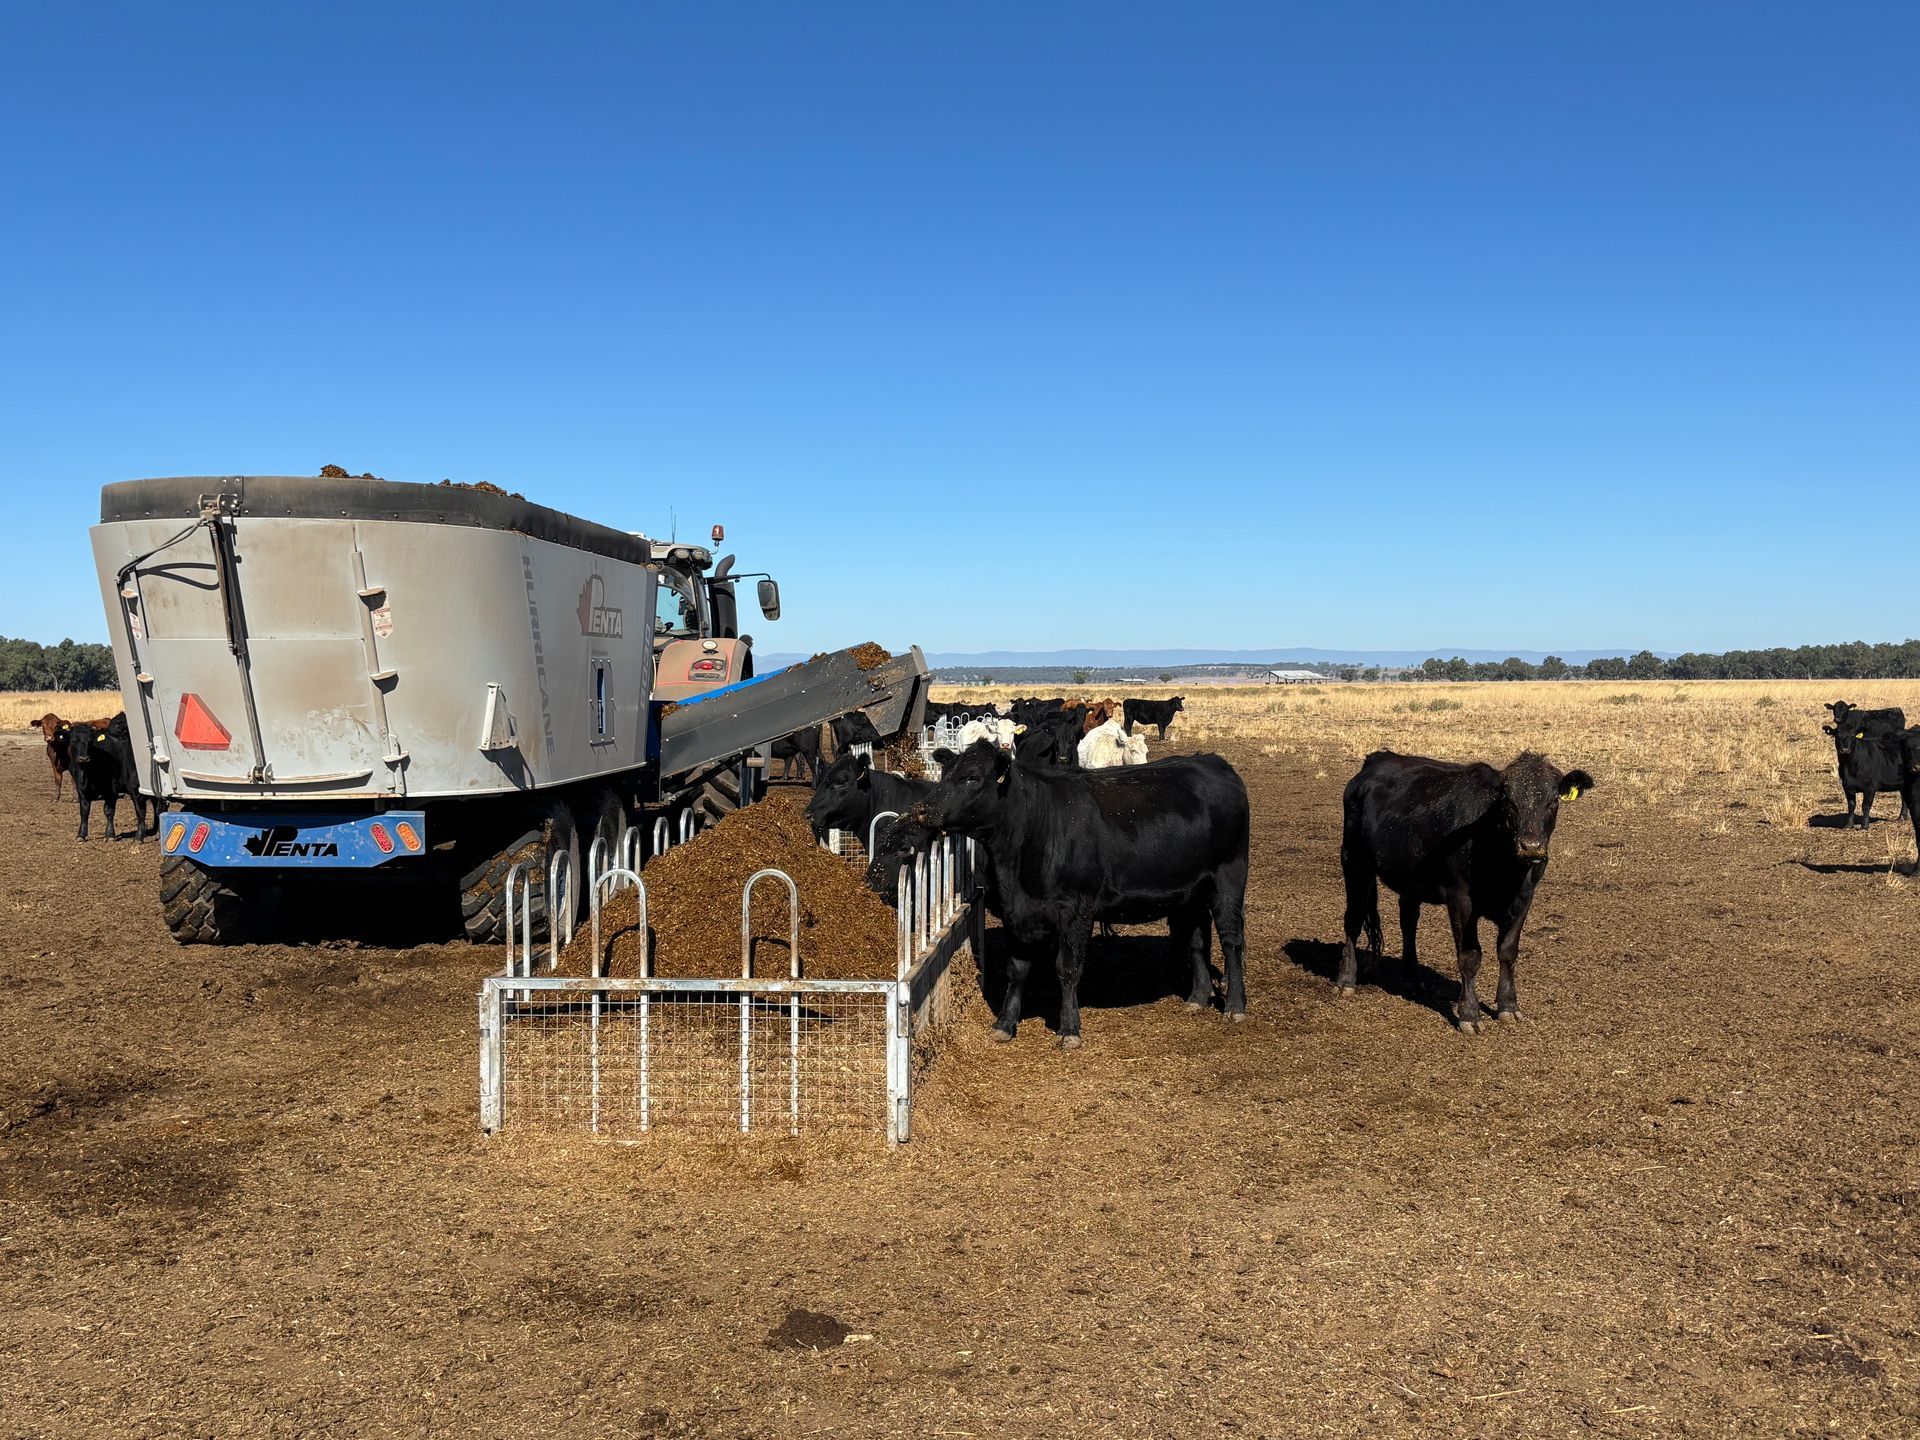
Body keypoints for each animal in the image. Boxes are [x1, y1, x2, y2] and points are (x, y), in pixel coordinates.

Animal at [68, 714, 151, 843]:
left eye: (90, 742)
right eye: (73, 741)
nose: (83, 758)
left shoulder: (112, 788)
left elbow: (109, 811)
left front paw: (110, 834)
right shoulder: (81, 789)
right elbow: (84, 811)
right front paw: (81, 835)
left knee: (141, 809)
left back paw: (139, 837)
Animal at [907, 739, 1249, 1047]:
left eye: (972, 777)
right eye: (945, 773)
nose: (923, 810)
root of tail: (1212, 761)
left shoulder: (1076, 910)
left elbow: (1068, 968)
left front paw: (1069, 1028)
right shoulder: (1015, 913)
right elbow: (1017, 970)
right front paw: (1004, 1024)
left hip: (1229, 876)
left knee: (1231, 940)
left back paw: (1234, 1006)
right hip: (1193, 892)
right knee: (1197, 939)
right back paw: (1198, 997)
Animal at [1337, 750, 1593, 1033]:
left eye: (1553, 801)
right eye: (1509, 801)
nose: (1531, 847)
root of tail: (1378, 758)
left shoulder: (1525, 896)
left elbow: (1508, 951)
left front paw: (1508, 1005)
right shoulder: (1460, 898)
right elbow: (1469, 956)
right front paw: (1469, 1014)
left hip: (1411, 878)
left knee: (1408, 921)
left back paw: (1412, 981)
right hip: (1355, 861)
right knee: (1353, 919)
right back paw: (1346, 980)